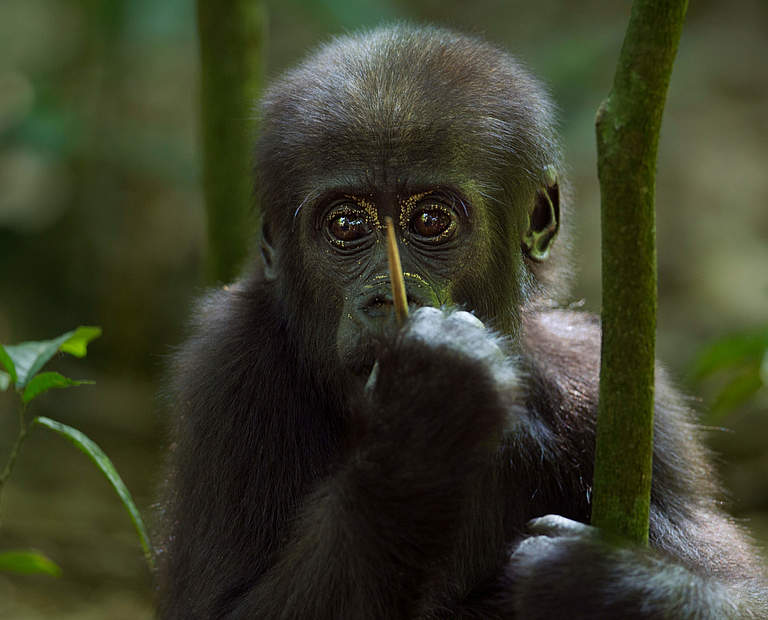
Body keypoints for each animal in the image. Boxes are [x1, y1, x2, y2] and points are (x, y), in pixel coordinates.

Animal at [158, 23, 768, 616]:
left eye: (430, 220)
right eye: (347, 225)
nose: (388, 299)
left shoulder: (616, 397)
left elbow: (741, 588)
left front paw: (602, 582)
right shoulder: (228, 366)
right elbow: (222, 606)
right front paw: (425, 422)